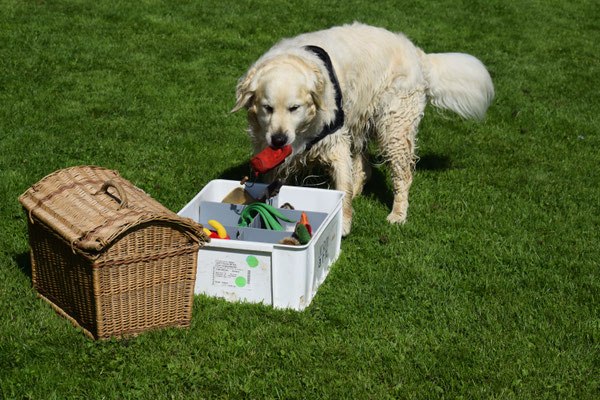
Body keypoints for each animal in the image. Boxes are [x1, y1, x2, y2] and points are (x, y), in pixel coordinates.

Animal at [231, 22, 492, 234]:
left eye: (294, 108)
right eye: (267, 108)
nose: (278, 140)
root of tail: (414, 49)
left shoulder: (334, 141)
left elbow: (343, 184)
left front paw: (344, 222)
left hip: (394, 126)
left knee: (402, 175)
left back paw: (398, 214)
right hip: (358, 120)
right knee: (364, 167)